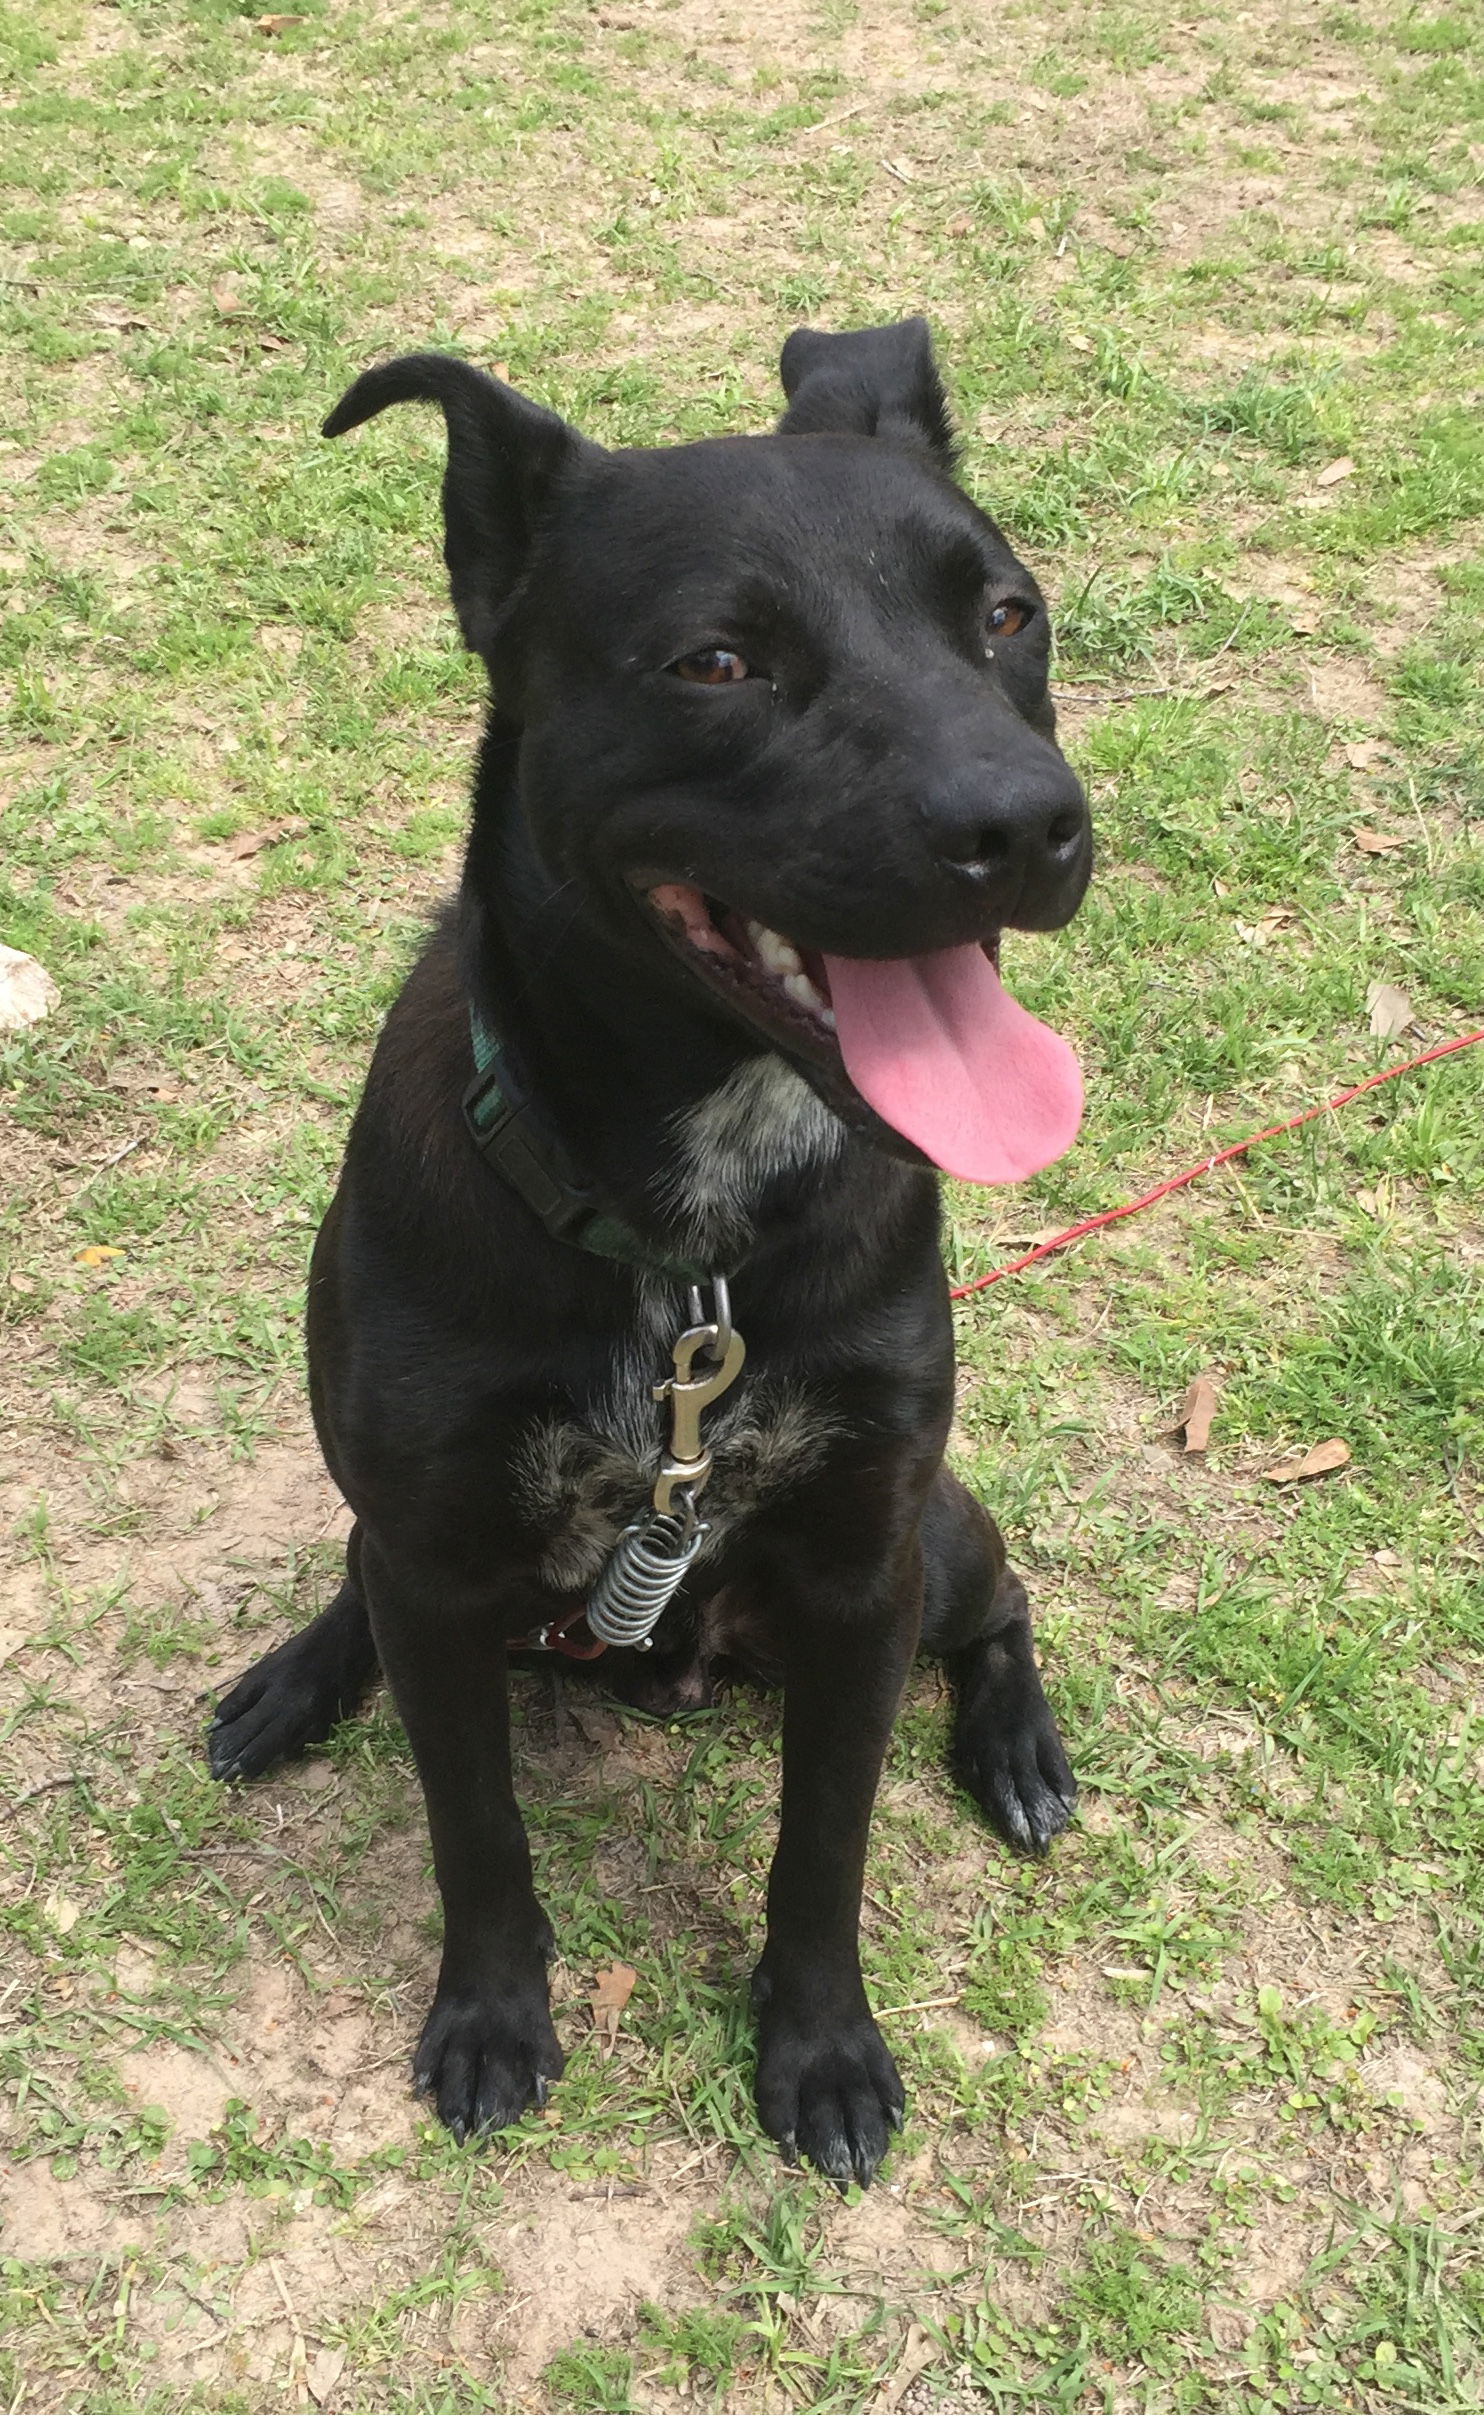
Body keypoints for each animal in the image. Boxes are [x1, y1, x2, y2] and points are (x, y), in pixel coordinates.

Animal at [209, 321, 1092, 2192]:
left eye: (1004, 613)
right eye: (717, 662)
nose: (1030, 825)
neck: (692, 1243)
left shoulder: (859, 1569)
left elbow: (822, 1854)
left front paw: (819, 2050)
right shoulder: (432, 1557)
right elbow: (474, 1832)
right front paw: (489, 2016)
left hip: (937, 1538)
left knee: (1004, 1604)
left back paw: (1017, 1744)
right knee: (354, 1585)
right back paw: (292, 1679)